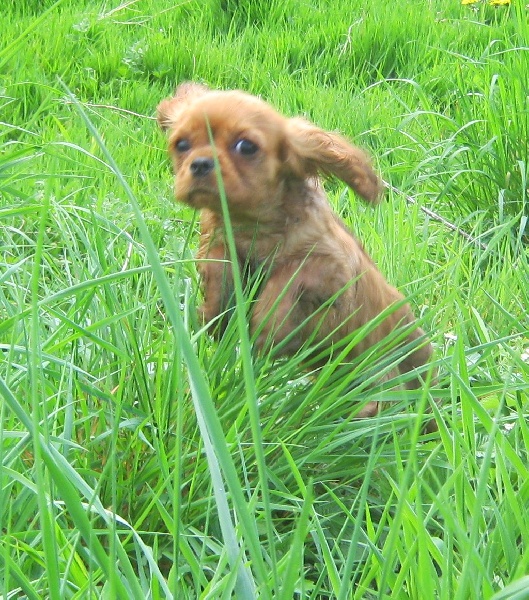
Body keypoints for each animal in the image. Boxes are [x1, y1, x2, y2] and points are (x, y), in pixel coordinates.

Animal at [159, 83, 436, 422]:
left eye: (246, 147)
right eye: (181, 144)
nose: (199, 164)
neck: (251, 224)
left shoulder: (329, 265)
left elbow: (288, 277)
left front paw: (268, 328)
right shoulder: (220, 244)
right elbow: (219, 271)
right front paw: (215, 314)